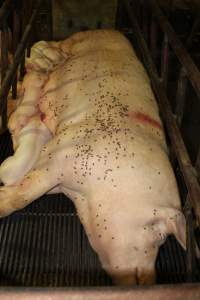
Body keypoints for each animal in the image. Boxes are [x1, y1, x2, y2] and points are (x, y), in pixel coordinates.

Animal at [0, 29, 186, 284]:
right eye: (160, 235)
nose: (147, 282)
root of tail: (103, 29)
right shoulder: (62, 154)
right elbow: (24, 195)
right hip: (70, 42)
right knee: (43, 44)